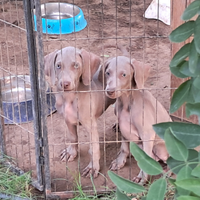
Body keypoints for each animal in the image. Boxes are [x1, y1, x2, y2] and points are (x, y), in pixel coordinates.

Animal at [44, 46, 115, 177]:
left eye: (76, 65)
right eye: (58, 66)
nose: (64, 84)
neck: (70, 97)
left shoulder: (91, 126)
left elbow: (94, 148)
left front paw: (93, 167)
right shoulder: (68, 120)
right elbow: (73, 137)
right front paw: (71, 152)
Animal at [104, 55, 171, 184]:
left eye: (124, 74)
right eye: (107, 73)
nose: (109, 91)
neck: (127, 101)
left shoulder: (147, 134)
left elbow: (145, 159)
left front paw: (142, 178)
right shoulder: (123, 127)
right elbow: (124, 148)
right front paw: (119, 162)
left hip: (159, 147)